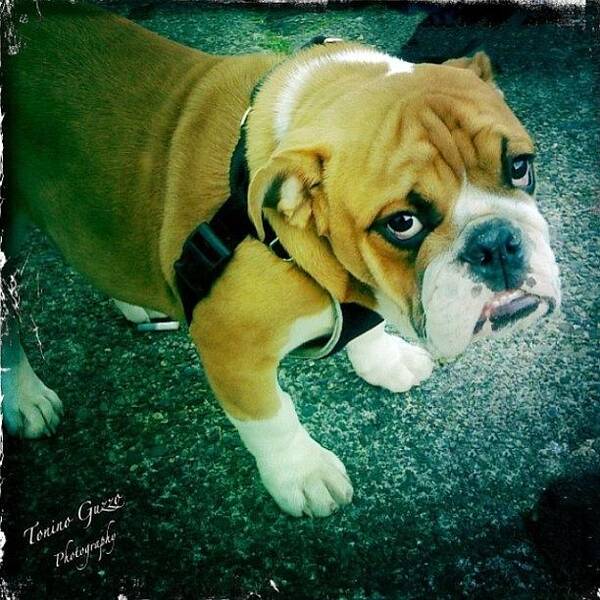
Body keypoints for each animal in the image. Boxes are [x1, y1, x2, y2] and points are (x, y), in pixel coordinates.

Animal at [2, 3, 560, 516]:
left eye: (520, 167)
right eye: (402, 224)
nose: (496, 243)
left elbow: (368, 328)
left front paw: (383, 357)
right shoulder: (231, 347)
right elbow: (271, 419)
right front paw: (303, 473)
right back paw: (25, 398)